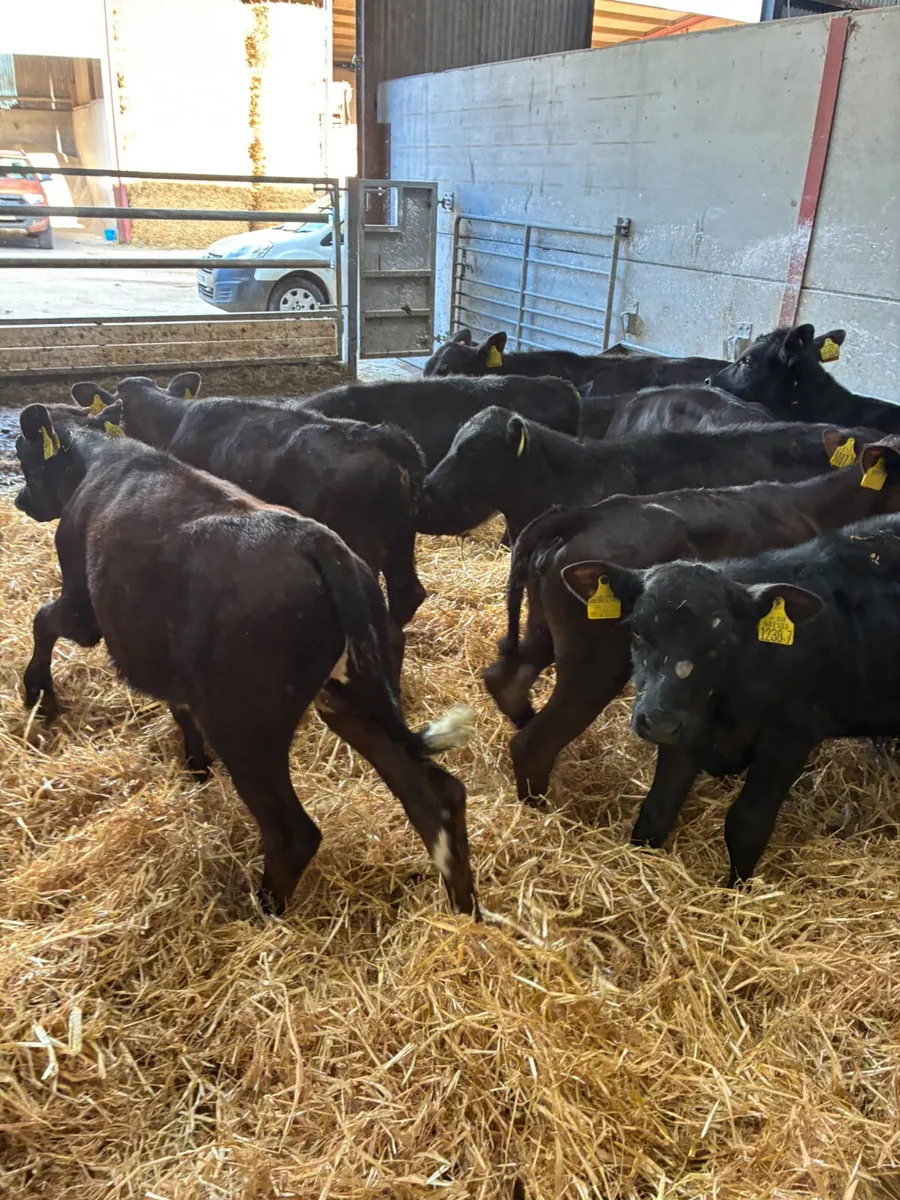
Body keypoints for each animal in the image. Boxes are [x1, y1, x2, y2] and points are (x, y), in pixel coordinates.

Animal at [14, 404, 478, 917]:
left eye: (25, 455)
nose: (19, 500)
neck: (100, 457)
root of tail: (319, 544)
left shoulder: (83, 608)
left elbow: (43, 620)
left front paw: (38, 693)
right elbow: (180, 707)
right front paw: (195, 765)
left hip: (246, 727)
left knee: (294, 832)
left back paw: (264, 910)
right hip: (352, 698)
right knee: (434, 794)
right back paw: (465, 910)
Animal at [561, 510, 900, 883]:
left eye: (722, 641)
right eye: (638, 631)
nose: (659, 722)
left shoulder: (791, 736)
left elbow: (747, 823)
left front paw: (737, 888)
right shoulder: (685, 730)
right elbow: (656, 810)